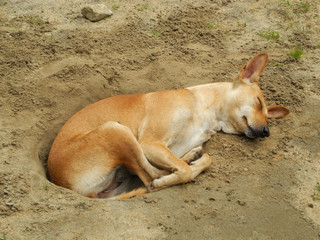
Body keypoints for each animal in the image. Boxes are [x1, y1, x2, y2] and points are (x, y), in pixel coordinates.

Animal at [48, 53, 290, 200]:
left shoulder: (171, 147)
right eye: (258, 102)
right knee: (151, 177)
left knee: (156, 170)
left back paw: (192, 157)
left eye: (268, 116)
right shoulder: (150, 143)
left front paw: (193, 158)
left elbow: (200, 161)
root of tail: (59, 180)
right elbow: (181, 171)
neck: (204, 109)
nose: (266, 131)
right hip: (116, 130)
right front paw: (178, 172)